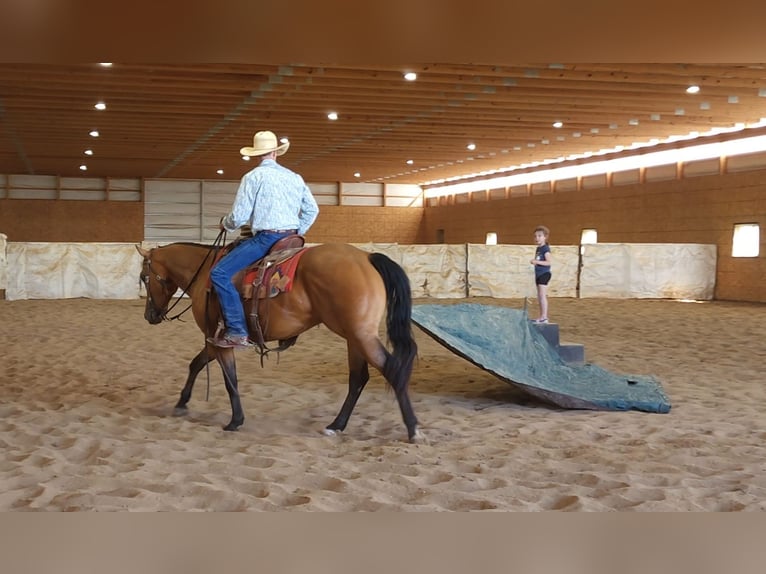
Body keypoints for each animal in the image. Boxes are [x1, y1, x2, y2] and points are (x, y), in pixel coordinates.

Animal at [138, 241, 426, 444]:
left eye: (143, 277)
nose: (149, 316)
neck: (205, 274)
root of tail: (367, 257)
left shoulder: (220, 340)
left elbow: (230, 380)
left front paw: (235, 420)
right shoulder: (214, 341)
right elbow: (196, 364)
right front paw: (181, 404)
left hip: (361, 336)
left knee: (392, 371)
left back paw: (413, 429)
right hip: (355, 337)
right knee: (358, 378)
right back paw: (336, 425)